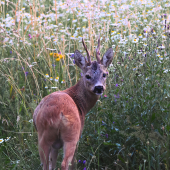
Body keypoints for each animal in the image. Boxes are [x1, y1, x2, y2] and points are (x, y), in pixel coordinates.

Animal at [33, 37, 113, 170]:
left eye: (104, 74)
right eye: (87, 76)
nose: (99, 88)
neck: (81, 104)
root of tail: (59, 115)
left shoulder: (55, 145)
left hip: (44, 136)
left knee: (46, 165)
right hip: (72, 136)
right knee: (65, 163)